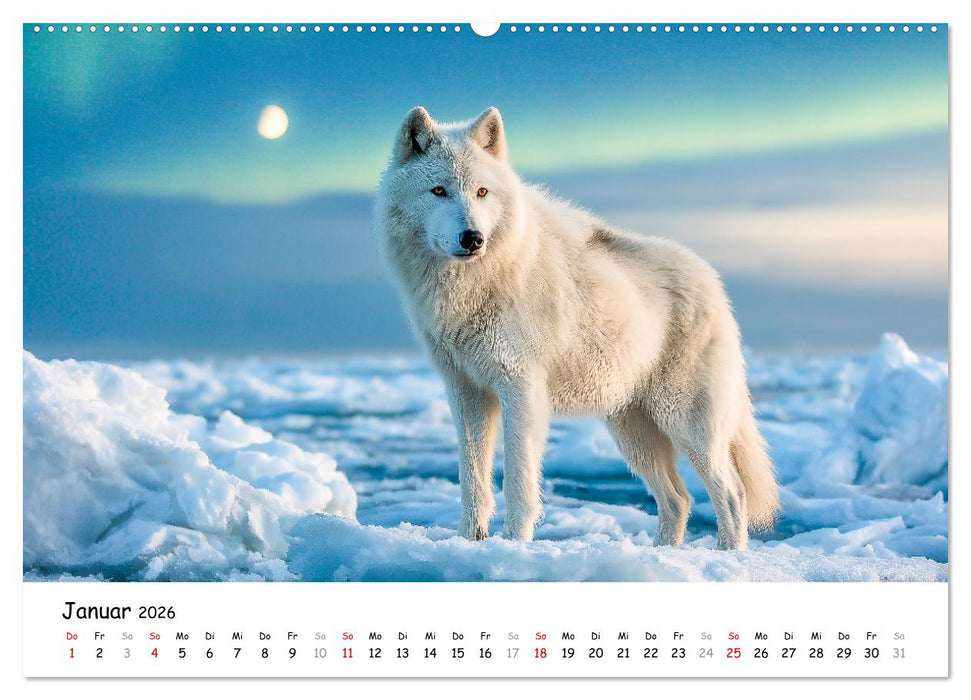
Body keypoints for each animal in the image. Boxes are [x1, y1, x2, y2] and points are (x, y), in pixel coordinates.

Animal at [374, 106, 780, 550]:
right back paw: (662, 554)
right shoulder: (466, 392)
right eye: (438, 191)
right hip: (633, 434)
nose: (473, 238)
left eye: (482, 192)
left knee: (732, 494)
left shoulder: (520, 387)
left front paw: (514, 545)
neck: (475, 285)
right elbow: (473, 481)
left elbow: (518, 481)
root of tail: (713, 283)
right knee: (679, 499)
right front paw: (469, 543)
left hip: (686, 423)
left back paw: (727, 555)